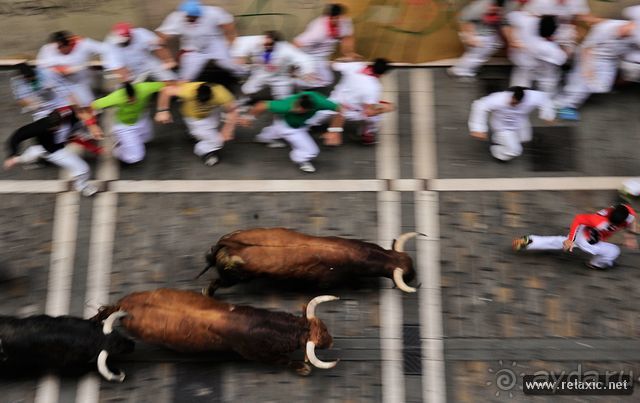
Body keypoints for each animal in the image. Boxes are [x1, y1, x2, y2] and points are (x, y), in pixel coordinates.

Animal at [94, 288, 340, 378]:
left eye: (326, 327)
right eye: (324, 334)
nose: (332, 342)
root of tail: (122, 306)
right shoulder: (260, 356)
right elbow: (284, 361)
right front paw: (302, 368)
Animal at [199, 227, 420, 296]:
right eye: (407, 272)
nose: (414, 275)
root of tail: (227, 243)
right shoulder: (326, 282)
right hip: (234, 278)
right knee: (215, 283)